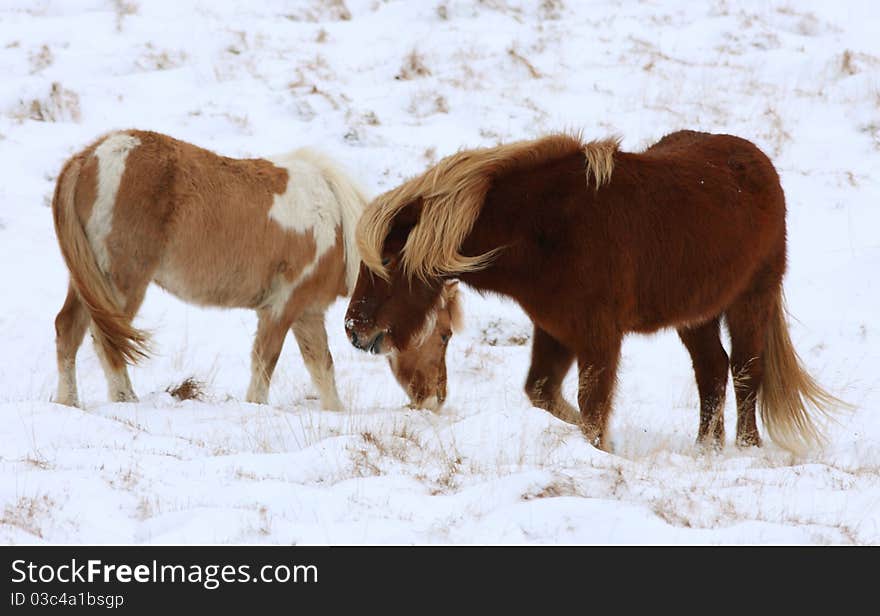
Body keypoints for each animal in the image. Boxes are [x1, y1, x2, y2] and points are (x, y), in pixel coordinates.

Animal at [51, 130, 458, 410]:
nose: (436, 399)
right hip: (123, 283)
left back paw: (69, 403)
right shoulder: (280, 308)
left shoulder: (307, 314)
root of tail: (86, 159)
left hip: (87, 282)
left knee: (68, 328)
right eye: (444, 335)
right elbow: (265, 363)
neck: (336, 223)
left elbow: (322, 368)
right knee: (105, 339)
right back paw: (125, 399)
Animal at [344, 130, 844, 452]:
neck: (544, 229)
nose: (353, 329)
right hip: (696, 314)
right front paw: (598, 443)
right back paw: (708, 448)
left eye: (390, 260)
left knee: (744, 371)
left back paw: (745, 448)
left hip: (750, 301)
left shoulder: (598, 335)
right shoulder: (556, 328)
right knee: (712, 371)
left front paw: (597, 448)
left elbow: (593, 401)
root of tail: (759, 162)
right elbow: (543, 392)